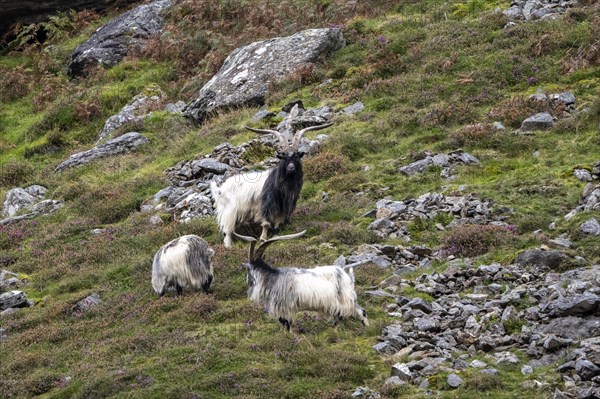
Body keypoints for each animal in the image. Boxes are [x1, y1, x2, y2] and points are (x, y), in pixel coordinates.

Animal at [211, 108, 332, 248]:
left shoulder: (283, 208)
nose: (291, 168)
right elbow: (266, 223)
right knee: (227, 231)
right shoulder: (266, 205)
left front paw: (277, 234)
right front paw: (263, 238)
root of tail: (220, 189)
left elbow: (278, 223)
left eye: (297, 156)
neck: (284, 185)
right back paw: (229, 246)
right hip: (229, 212)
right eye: (284, 156)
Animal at [232, 231, 368, 332]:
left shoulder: (286, 308)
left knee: (359, 312)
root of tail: (347, 276)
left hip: (345, 299)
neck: (273, 278)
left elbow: (287, 325)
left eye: (248, 270)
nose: (248, 282)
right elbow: (283, 325)